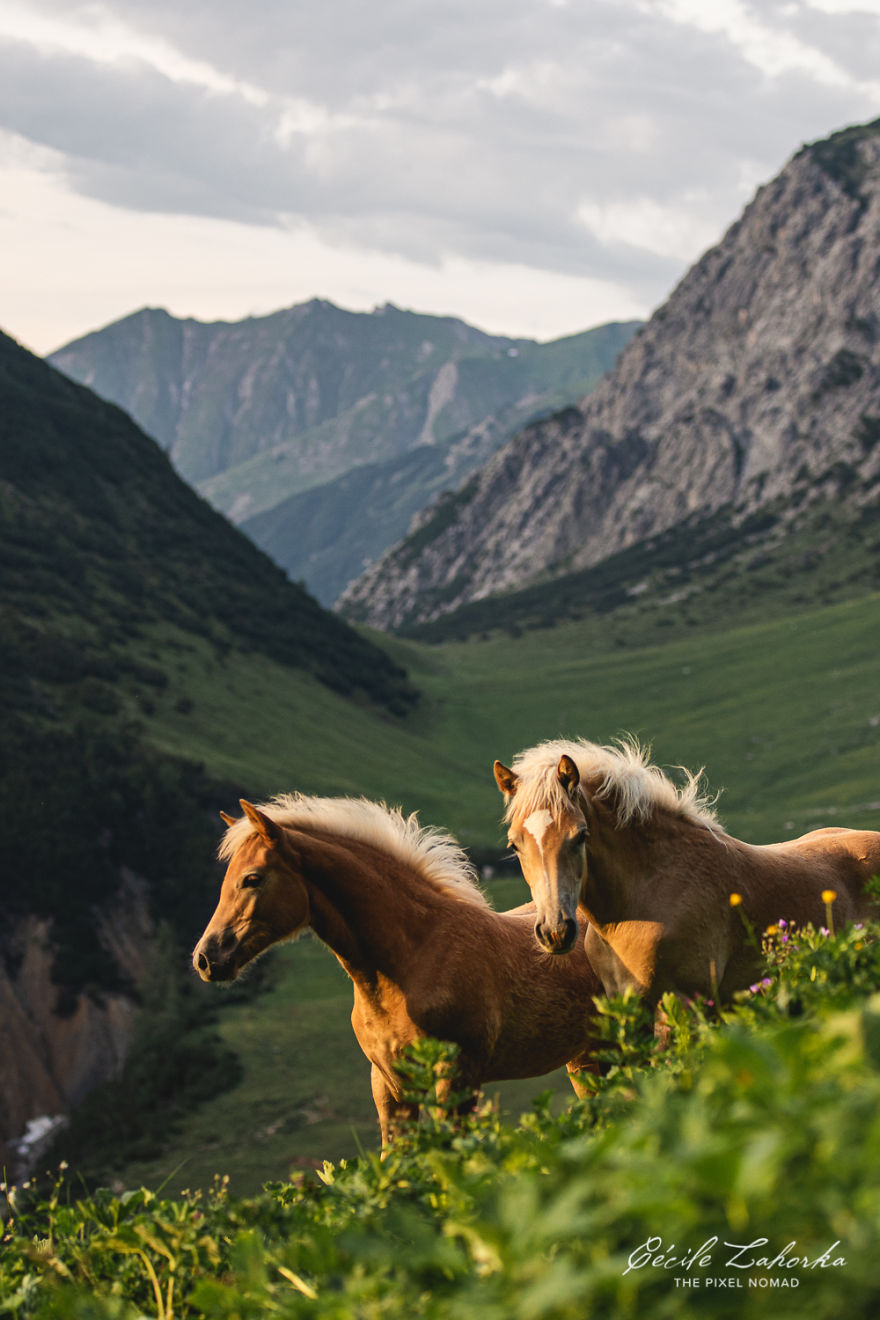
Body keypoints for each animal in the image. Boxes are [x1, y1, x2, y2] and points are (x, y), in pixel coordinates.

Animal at [193, 795, 604, 1144]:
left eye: (252, 878)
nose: (206, 958)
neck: (412, 960)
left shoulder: (457, 1077)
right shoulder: (389, 1084)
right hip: (584, 1058)